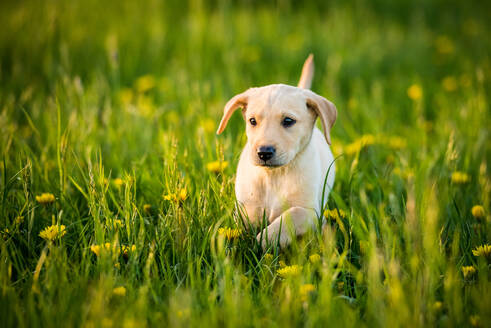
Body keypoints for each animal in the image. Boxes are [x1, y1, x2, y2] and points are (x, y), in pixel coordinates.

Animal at [218, 55, 338, 247]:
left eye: (288, 121)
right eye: (252, 121)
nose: (264, 152)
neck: (274, 176)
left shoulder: (312, 213)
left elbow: (290, 216)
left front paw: (264, 239)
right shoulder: (244, 206)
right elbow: (246, 219)